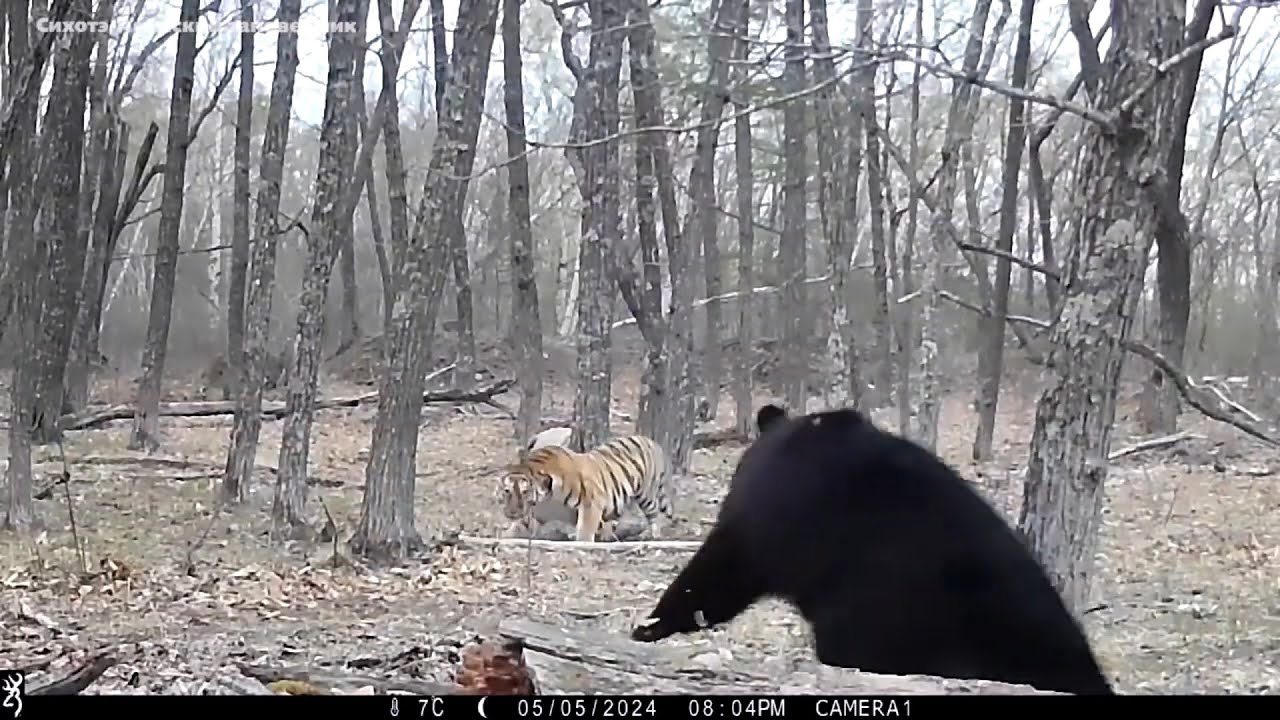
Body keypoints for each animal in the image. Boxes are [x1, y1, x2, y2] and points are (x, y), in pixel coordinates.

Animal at [499, 435, 674, 542]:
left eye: (524, 492)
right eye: (507, 491)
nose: (511, 513)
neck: (548, 497)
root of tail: (652, 441)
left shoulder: (591, 502)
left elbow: (585, 529)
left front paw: (583, 543)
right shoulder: (539, 512)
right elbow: (520, 525)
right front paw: (505, 535)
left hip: (647, 494)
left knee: (654, 514)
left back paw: (651, 535)